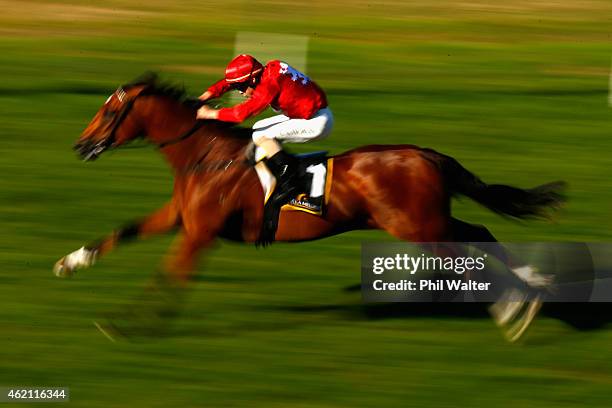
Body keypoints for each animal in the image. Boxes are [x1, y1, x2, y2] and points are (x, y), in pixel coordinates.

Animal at [55, 74, 568, 342]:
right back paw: (532, 288)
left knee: (469, 250)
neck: (204, 156)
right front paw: (71, 262)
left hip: (420, 228)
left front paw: (126, 324)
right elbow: (123, 231)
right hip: (427, 221)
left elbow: (168, 276)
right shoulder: (178, 218)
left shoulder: (199, 233)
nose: (80, 145)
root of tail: (425, 154)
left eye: (109, 112)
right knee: (480, 231)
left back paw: (515, 306)